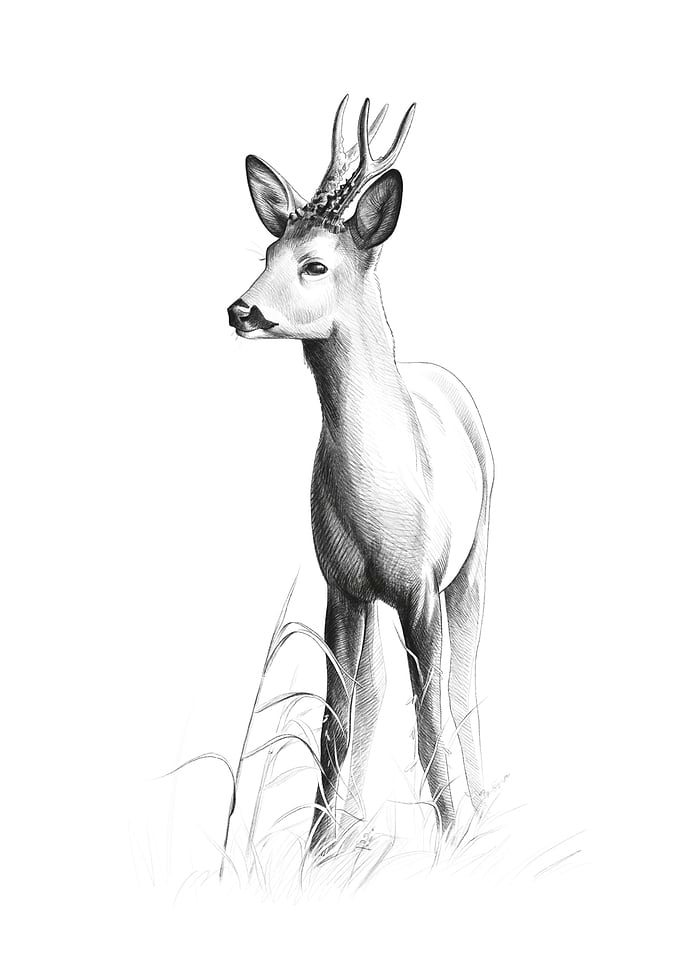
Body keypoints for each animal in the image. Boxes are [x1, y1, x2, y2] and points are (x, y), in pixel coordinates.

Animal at [228, 96, 494, 852]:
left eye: (314, 264)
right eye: (269, 251)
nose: (241, 309)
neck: (377, 498)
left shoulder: (422, 585)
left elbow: (429, 722)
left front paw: (453, 843)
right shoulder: (342, 585)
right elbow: (336, 723)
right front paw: (316, 854)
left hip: (474, 560)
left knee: (462, 690)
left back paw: (486, 813)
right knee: (370, 703)